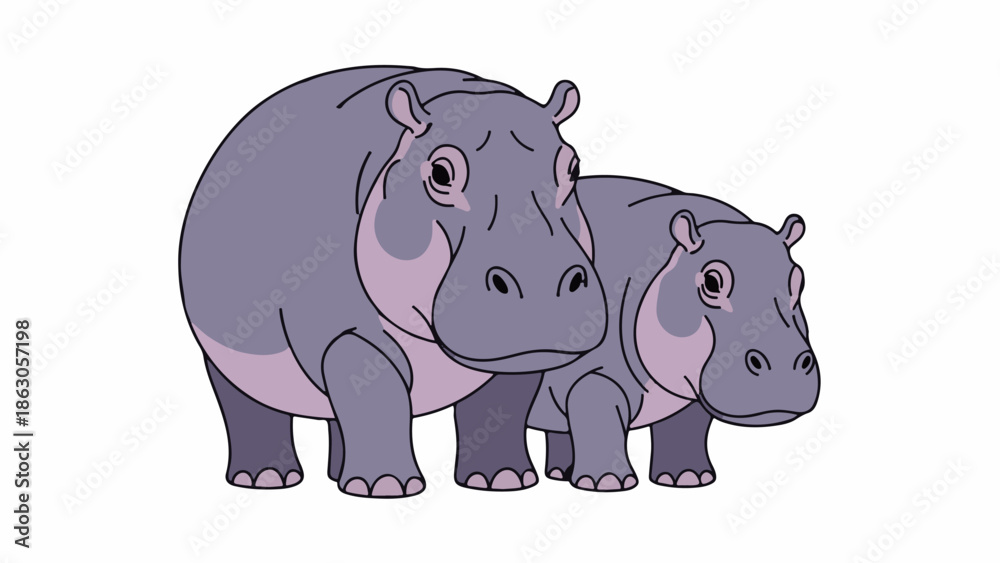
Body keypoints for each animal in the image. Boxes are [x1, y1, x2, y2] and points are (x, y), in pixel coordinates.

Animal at [179, 66, 607, 497]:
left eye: (572, 168)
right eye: (440, 173)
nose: (543, 284)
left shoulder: (515, 361)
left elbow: (502, 406)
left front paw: (503, 481)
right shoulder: (344, 332)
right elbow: (377, 392)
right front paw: (385, 487)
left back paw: (336, 473)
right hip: (223, 357)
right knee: (246, 405)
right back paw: (266, 479)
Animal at [453, 175, 819, 491]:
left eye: (798, 279)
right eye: (712, 281)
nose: (783, 363)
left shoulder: (687, 391)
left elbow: (686, 428)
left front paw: (688, 478)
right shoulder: (595, 375)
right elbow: (599, 414)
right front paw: (607, 484)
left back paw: (560, 473)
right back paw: (502, 480)